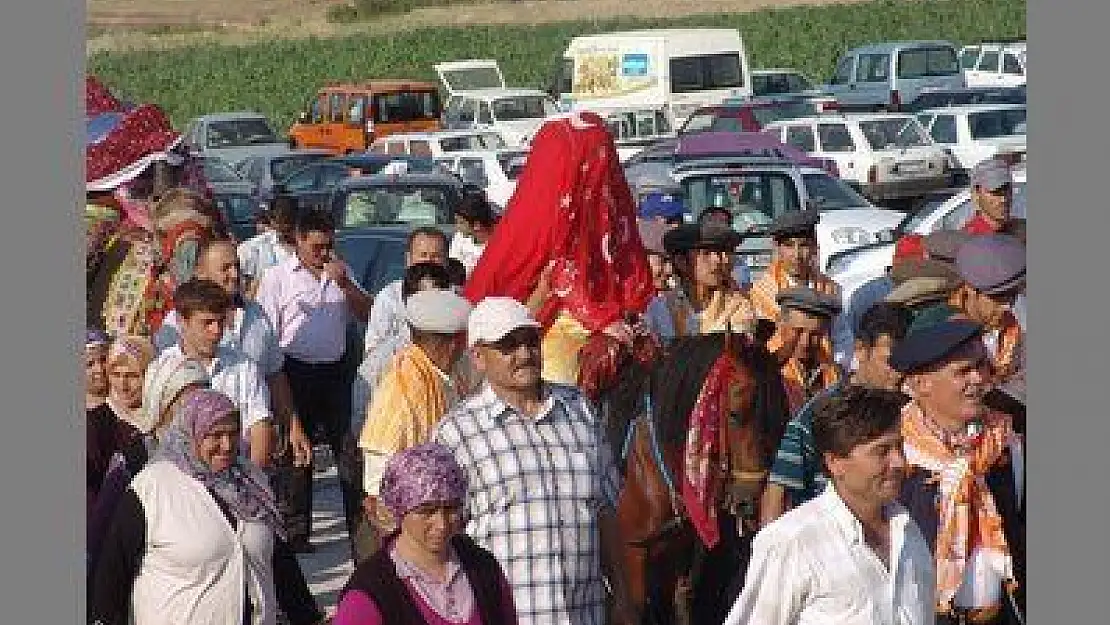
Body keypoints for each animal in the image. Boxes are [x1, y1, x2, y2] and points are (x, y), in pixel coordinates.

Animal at [577, 330, 785, 621]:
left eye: (778, 418)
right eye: (734, 414)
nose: (751, 501)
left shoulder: (680, 550)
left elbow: (681, 602)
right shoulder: (631, 553)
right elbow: (632, 609)